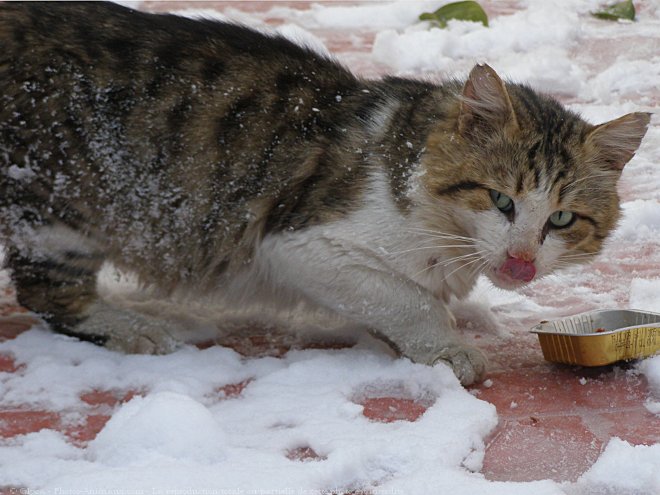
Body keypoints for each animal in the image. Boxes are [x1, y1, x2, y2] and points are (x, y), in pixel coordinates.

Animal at [0, 1, 648, 386]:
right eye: (501, 201)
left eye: (561, 219)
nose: (521, 262)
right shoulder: (298, 244)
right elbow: (407, 297)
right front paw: (446, 347)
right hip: (64, 200)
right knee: (48, 293)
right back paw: (130, 326)